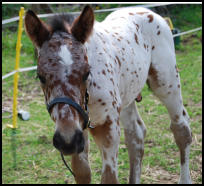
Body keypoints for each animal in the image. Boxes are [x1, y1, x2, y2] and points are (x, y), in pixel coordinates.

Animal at [24, 5, 192, 184]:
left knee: (181, 128)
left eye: (86, 73)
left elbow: (109, 178)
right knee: (136, 135)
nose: (67, 141)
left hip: (167, 84)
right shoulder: (78, 130)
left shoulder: (108, 126)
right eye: (41, 77)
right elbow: (83, 173)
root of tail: (148, 11)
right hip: (127, 97)